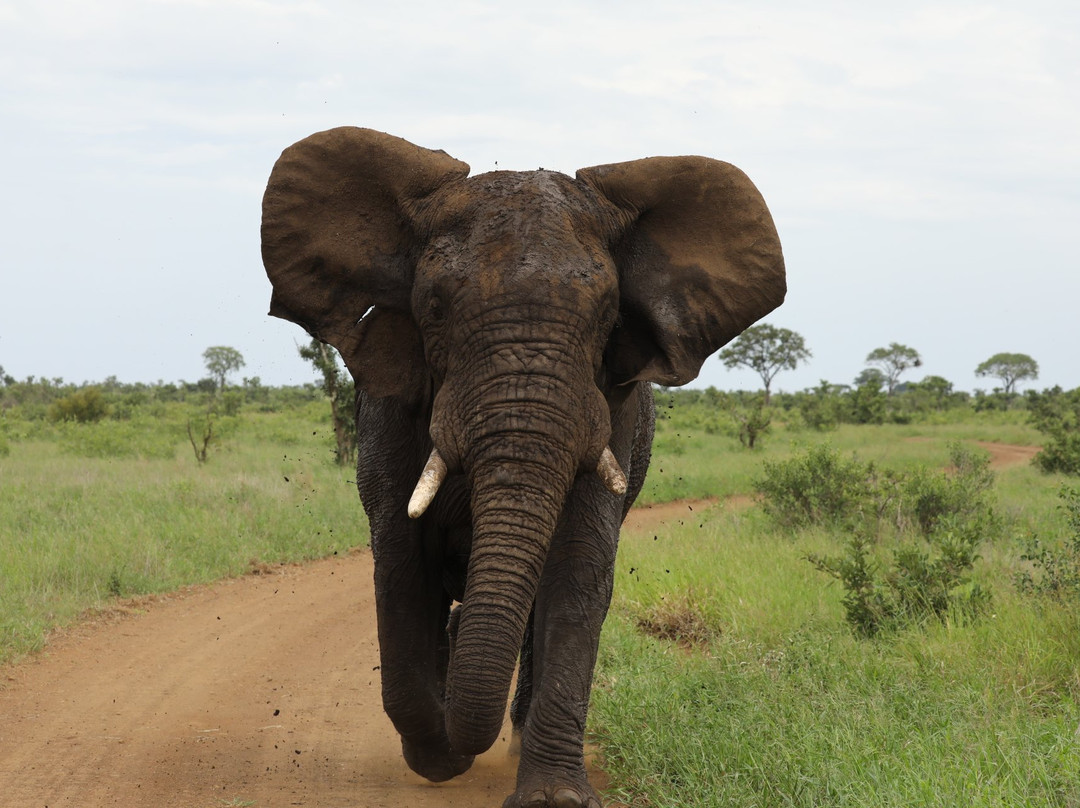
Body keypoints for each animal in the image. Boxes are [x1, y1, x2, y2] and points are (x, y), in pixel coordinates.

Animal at [259, 128, 786, 808]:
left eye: (608, 315)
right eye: (433, 306)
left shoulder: (608, 407)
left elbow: (578, 569)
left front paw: (553, 798)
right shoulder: (389, 410)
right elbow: (400, 563)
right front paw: (440, 759)